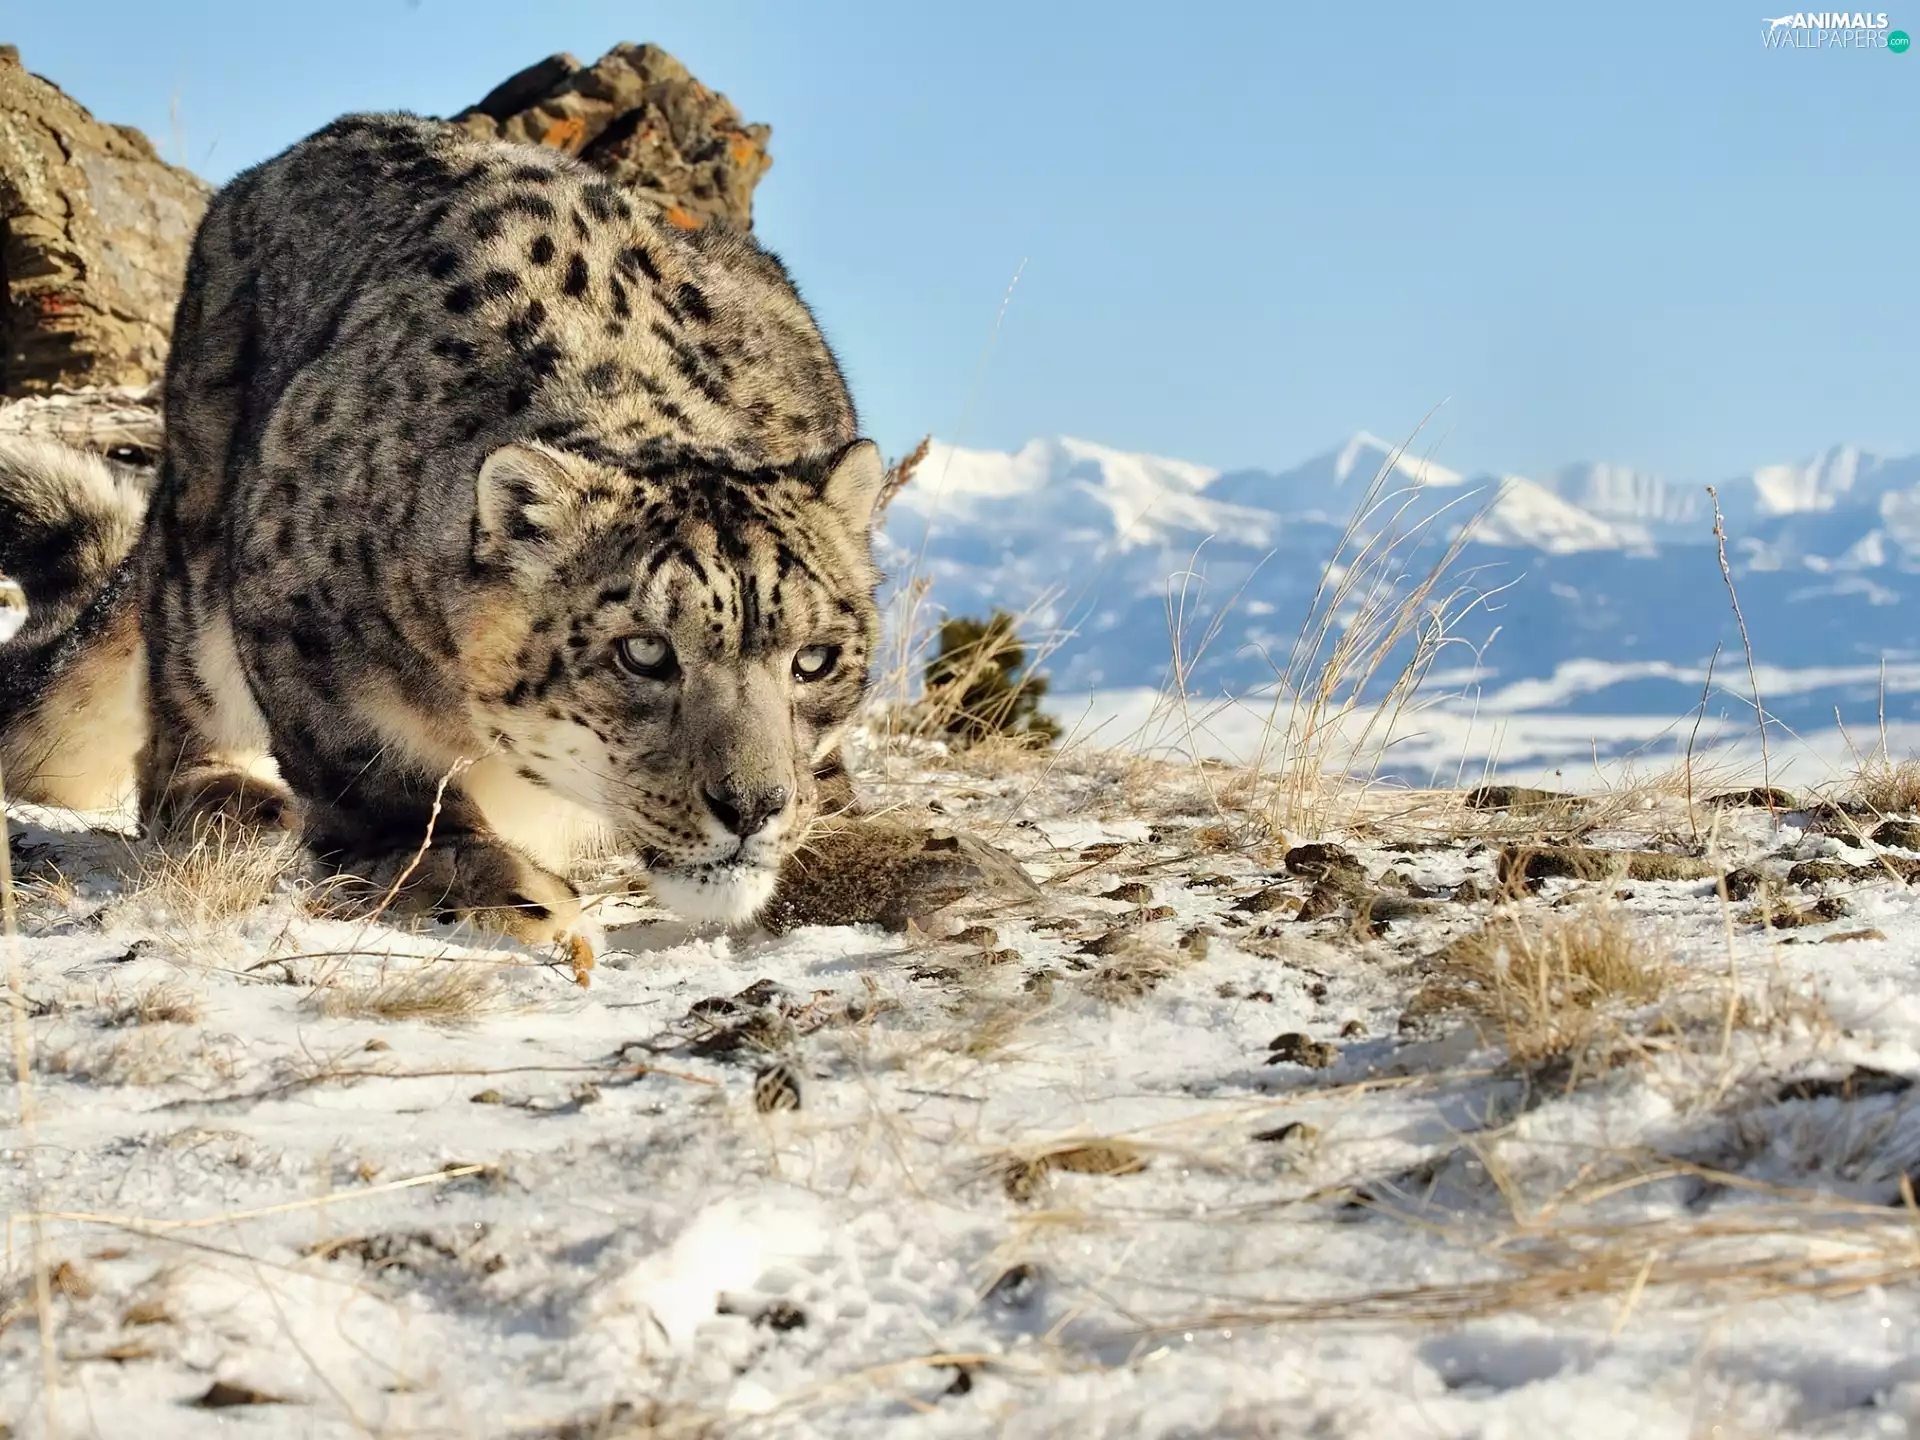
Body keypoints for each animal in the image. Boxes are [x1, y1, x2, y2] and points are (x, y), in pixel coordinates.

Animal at [0, 112, 895, 942]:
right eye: (643, 652)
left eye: (815, 660)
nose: (751, 806)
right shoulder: (293, 613)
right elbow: (376, 772)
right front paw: (491, 879)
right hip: (198, 521)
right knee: (173, 719)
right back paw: (229, 797)